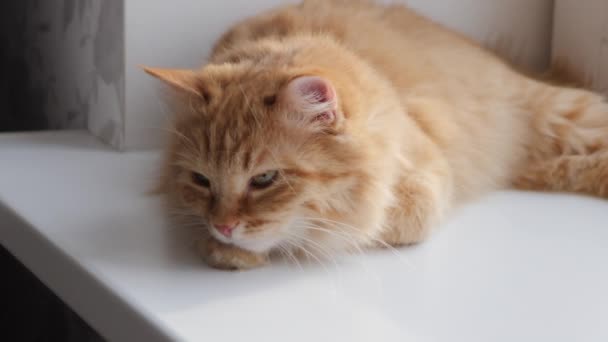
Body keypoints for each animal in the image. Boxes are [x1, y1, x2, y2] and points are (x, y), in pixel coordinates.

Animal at [144, 0, 608, 270]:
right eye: (201, 180)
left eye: (264, 179)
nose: (223, 226)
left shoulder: (426, 179)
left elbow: (354, 227)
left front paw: (238, 249)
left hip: (564, 112)